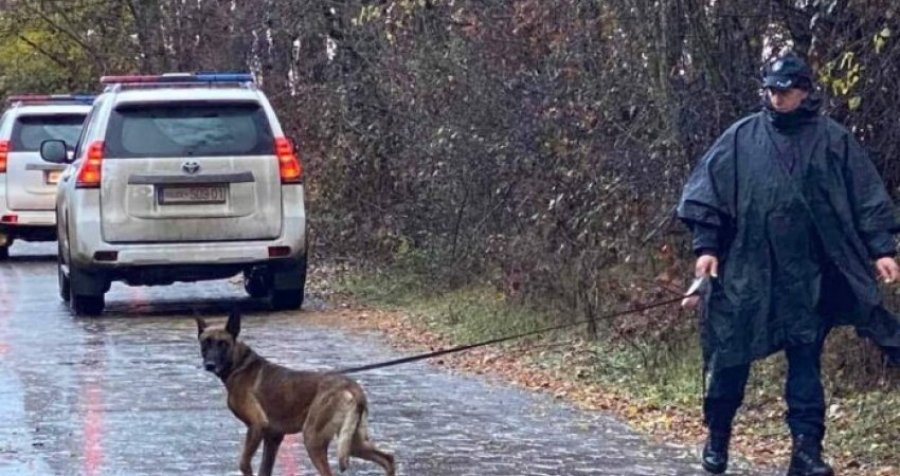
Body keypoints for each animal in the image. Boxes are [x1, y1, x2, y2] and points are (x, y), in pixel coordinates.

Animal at [195, 308, 396, 476]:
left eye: (223, 344)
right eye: (205, 343)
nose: (210, 365)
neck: (239, 365)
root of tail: (352, 387)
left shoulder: (256, 425)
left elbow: (244, 464)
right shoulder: (273, 438)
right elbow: (264, 470)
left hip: (313, 438)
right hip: (353, 442)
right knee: (388, 458)